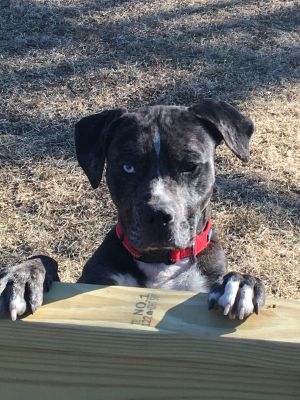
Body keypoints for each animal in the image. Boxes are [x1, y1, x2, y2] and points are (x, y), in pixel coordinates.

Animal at [0, 98, 264, 320]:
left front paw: (242, 283)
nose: (157, 215)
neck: (159, 263)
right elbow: (46, 259)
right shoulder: (93, 281)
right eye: (128, 166)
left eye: (189, 166)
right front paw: (23, 275)